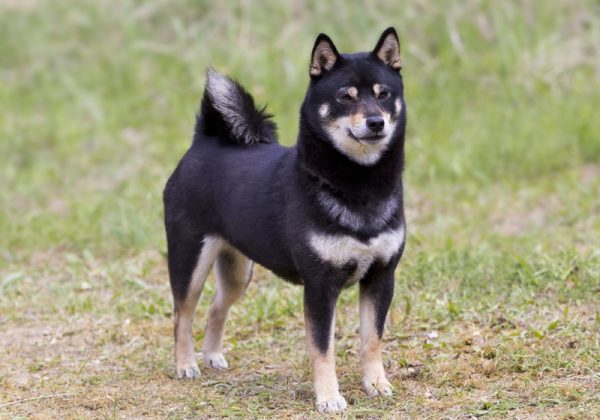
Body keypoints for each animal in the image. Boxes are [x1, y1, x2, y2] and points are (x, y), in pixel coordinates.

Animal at [164, 27, 408, 414]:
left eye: (383, 94)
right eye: (345, 96)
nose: (376, 122)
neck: (360, 185)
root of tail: (204, 141)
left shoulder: (381, 278)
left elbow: (372, 340)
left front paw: (376, 384)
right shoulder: (320, 287)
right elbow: (323, 349)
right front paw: (329, 398)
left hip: (237, 272)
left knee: (217, 307)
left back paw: (212, 355)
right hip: (190, 260)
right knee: (182, 313)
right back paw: (185, 364)